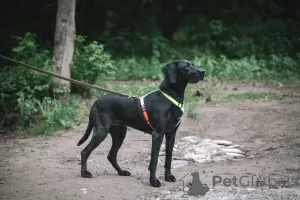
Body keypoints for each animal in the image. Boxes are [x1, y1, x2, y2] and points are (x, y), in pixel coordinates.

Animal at [76, 58, 205, 187]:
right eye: (186, 67)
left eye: (192, 64)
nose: (203, 71)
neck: (170, 96)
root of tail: (95, 102)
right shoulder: (158, 134)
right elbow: (154, 160)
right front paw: (153, 181)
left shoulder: (171, 134)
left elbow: (169, 158)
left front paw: (168, 177)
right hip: (101, 132)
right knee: (84, 152)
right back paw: (84, 173)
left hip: (120, 134)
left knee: (111, 156)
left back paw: (121, 172)